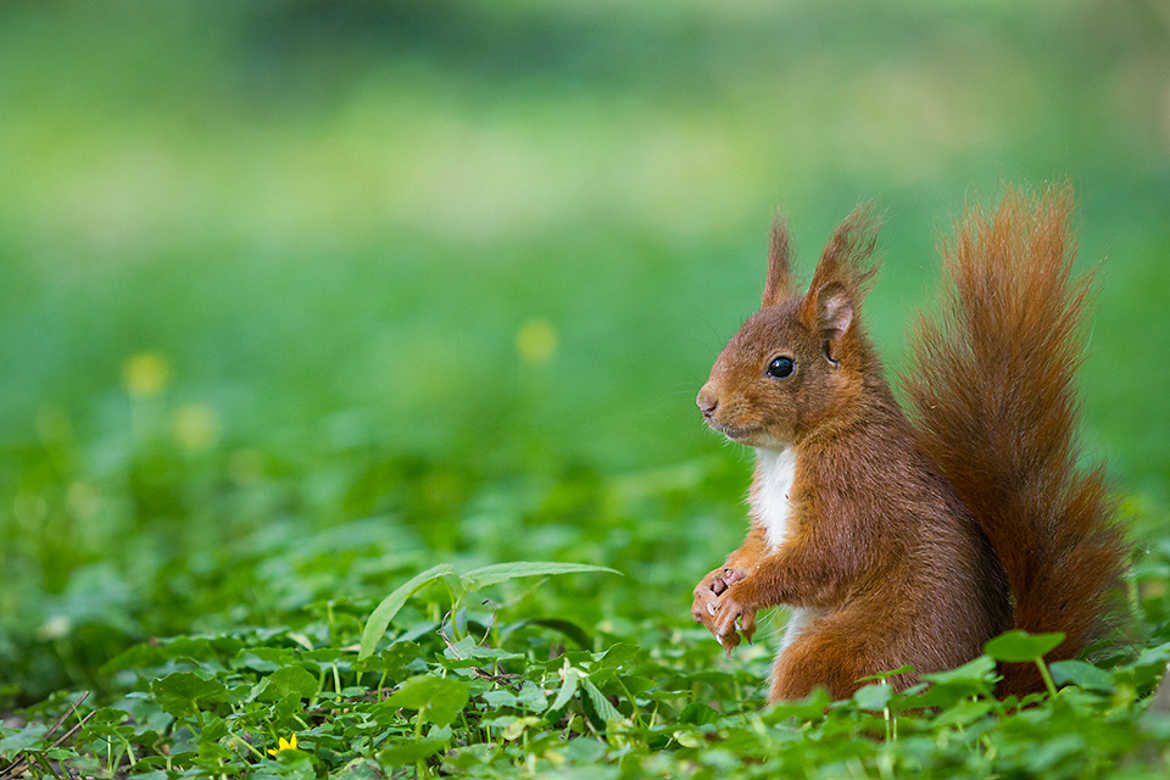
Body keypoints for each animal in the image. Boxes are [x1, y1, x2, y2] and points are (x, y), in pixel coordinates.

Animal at [687, 187, 1127, 701]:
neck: (787, 450)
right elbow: (757, 546)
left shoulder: (854, 491)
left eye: (781, 366)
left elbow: (822, 559)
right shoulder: (769, 511)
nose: (705, 403)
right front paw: (712, 585)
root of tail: (986, 695)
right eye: (733, 338)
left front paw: (741, 596)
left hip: (834, 659)